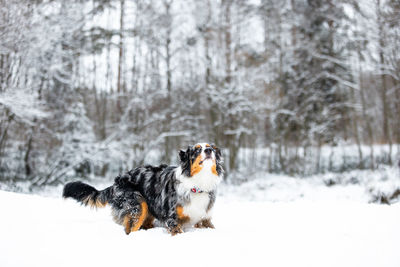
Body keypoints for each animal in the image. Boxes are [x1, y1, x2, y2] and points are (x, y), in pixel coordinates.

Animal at [64, 143, 223, 236]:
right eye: (197, 150)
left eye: (211, 147)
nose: (209, 150)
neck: (198, 184)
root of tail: (116, 181)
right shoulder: (172, 219)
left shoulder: (205, 218)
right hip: (137, 205)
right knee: (130, 229)